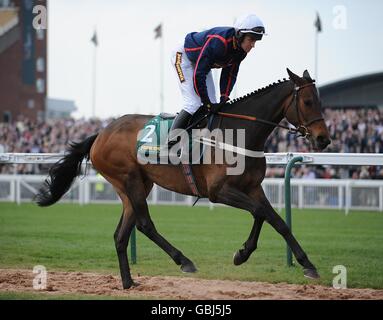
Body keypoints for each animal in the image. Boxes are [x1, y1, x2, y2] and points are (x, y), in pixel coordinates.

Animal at [35, 69, 330, 288]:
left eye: (320, 101)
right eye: (307, 102)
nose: (323, 139)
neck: (240, 133)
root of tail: (100, 134)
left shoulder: (253, 187)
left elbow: (276, 221)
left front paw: (307, 264)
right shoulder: (218, 191)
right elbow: (261, 213)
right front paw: (243, 253)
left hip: (136, 185)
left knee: (121, 234)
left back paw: (128, 283)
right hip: (128, 178)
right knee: (144, 225)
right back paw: (183, 260)